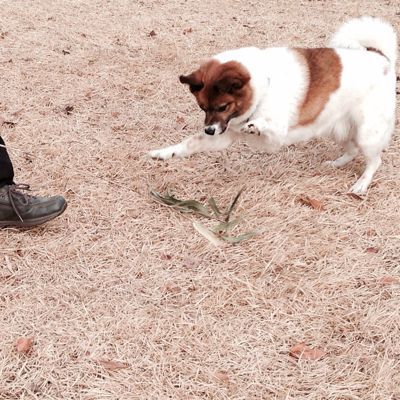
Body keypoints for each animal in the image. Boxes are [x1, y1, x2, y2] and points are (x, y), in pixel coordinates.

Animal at [149, 17, 396, 194]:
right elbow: (190, 143)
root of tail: (381, 57)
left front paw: (254, 126)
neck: (264, 84)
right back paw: (336, 164)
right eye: (202, 107)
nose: (209, 130)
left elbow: (265, 124)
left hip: (367, 132)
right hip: (337, 126)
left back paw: (361, 184)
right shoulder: (223, 133)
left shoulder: (277, 133)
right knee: (352, 150)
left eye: (222, 107)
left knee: (375, 160)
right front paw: (164, 153)